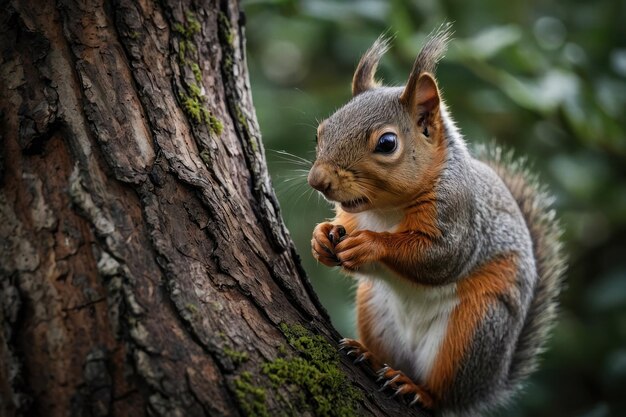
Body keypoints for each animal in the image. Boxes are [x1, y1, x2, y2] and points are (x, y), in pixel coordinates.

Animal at [308, 24, 564, 414]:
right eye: (321, 131)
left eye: (386, 143)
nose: (317, 180)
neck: (384, 210)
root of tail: (486, 388)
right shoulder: (352, 217)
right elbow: (341, 230)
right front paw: (321, 238)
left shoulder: (459, 217)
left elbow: (439, 258)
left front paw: (371, 245)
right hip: (374, 309)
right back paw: (370, 355)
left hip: (473, 331)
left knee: (442, 395)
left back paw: (418, 389)